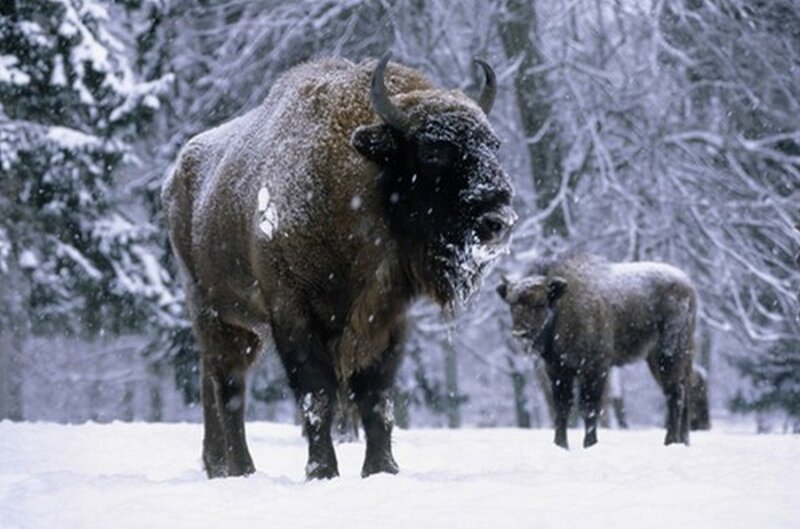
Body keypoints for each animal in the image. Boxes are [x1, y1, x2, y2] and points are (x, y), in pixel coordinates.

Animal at [162, 52, 516, 479]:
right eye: (434, 150)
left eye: (494, 145)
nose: (499, 220)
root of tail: (176, 175)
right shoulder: (293, 313)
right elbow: (317, 395)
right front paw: (322, 471)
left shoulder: (386, 317)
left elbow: (376, 397)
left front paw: (382, 469)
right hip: (212, 311)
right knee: (229, 385)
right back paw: (241, 468)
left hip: (243, 327)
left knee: (212, 380)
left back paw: (217, 466)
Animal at [497, 255, 697, 448]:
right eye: (512, 304)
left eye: (540, 303)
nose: (520, 333)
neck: (565, 306)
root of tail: (688, 284)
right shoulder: (558, 370)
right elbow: (562, 407)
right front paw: (560, 445)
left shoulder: (595, 368)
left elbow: (589, 407)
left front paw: (589, 444)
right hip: (657, 360)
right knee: (680, 393)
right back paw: (682, 441)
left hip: (669, 354)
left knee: (675, 394)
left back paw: (670, 441)